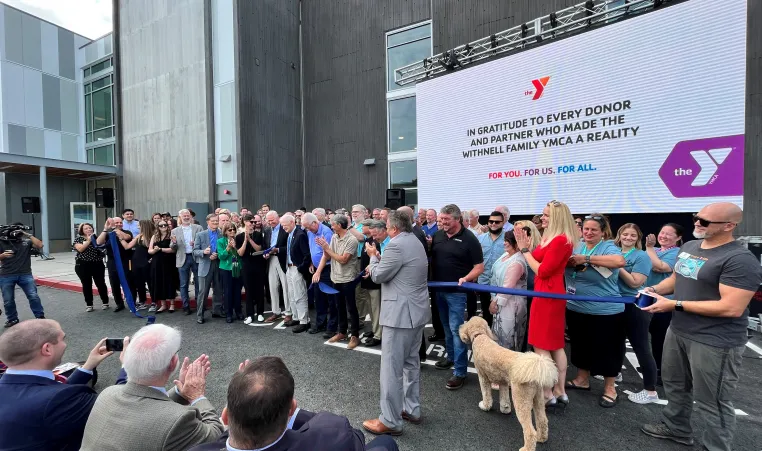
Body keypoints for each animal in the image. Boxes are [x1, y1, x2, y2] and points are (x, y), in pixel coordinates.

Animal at [458, 316, 560, 450]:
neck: (480, 336)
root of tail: (534, 366)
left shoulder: (483, 377)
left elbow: (486, 394)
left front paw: (485, 406)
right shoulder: (503, 382)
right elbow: (504, 397)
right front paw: (505, 409)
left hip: (521, 399)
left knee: (529, 431)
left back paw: (526, 448)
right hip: (538, 397)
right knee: (543, 420)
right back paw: (541, 438)